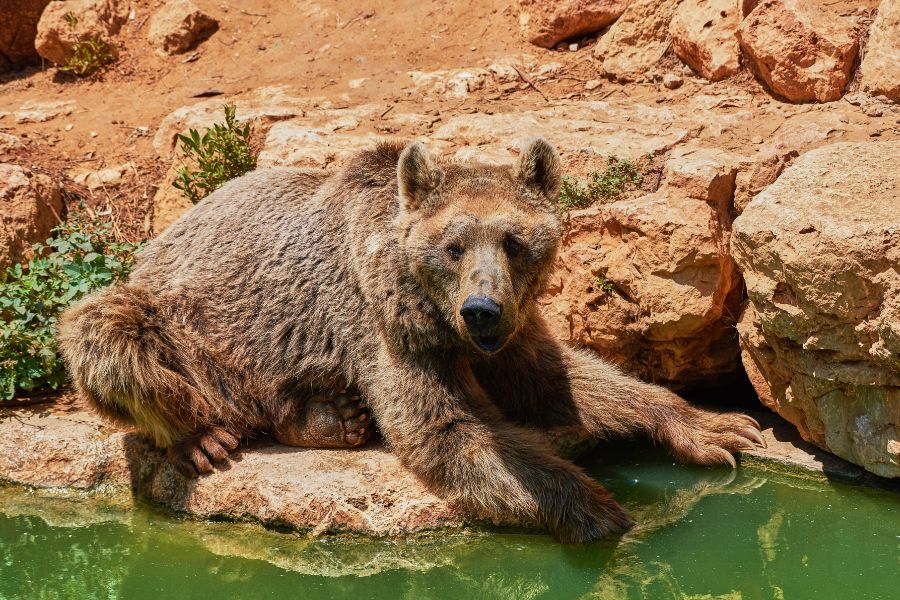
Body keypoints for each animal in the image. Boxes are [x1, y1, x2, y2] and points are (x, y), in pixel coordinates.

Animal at [58, 139, 760, 544]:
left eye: (513, 241)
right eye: (453, 245)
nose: (481, 310)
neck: (438, 314)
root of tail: (161, 235)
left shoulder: (511, 331)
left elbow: (562, 380)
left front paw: (716, 426)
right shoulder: (386, 327)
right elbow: (446, 430)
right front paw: (600, 509)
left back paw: (331, 415)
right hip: (185, 326)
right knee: (106, 331)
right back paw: (207, 436)